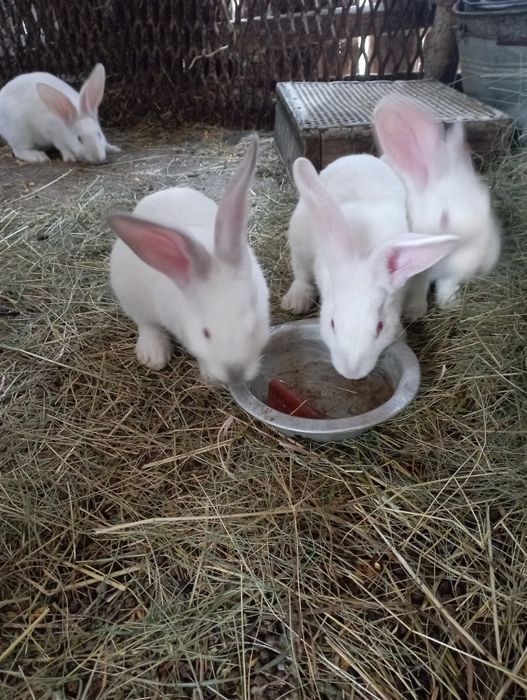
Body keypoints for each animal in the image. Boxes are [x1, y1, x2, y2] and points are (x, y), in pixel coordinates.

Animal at [107, 135, 270, 386]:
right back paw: (153, 355)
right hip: (129, 293)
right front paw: (210, 375)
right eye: (206, 333)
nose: (234, 373)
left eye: (252, 325)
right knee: (146, 323)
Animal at [281, 154, 458, 380]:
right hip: (299, 239)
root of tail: (359, 156)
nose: (352, 373)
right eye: (332, 323)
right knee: (301, 274)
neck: (364, 248)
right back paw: (295, 302)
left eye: (380, 326)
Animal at [373, 94, 501, 321]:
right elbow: (419, 288)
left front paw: (450, 303)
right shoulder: (417, 272)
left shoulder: (451, 274)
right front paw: (414, 312)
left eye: (487, 202)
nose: (483, 261)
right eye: (444, 219)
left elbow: (446, 285)